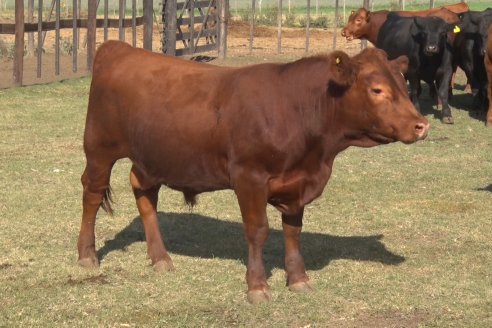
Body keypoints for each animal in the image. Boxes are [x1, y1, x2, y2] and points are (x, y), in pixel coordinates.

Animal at [79, 41, 428, 304]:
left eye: (404, 84)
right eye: (377, 89)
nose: (421, 125)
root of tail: (119, 47)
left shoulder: (297, 182)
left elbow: (292, 231)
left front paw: (298, 279)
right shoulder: (249, 177)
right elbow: (258, 230)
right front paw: (257, 287)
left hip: (152, 156)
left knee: (143, 190)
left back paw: (161, 258)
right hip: (99, 148)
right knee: (92, 194)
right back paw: (87, 255)